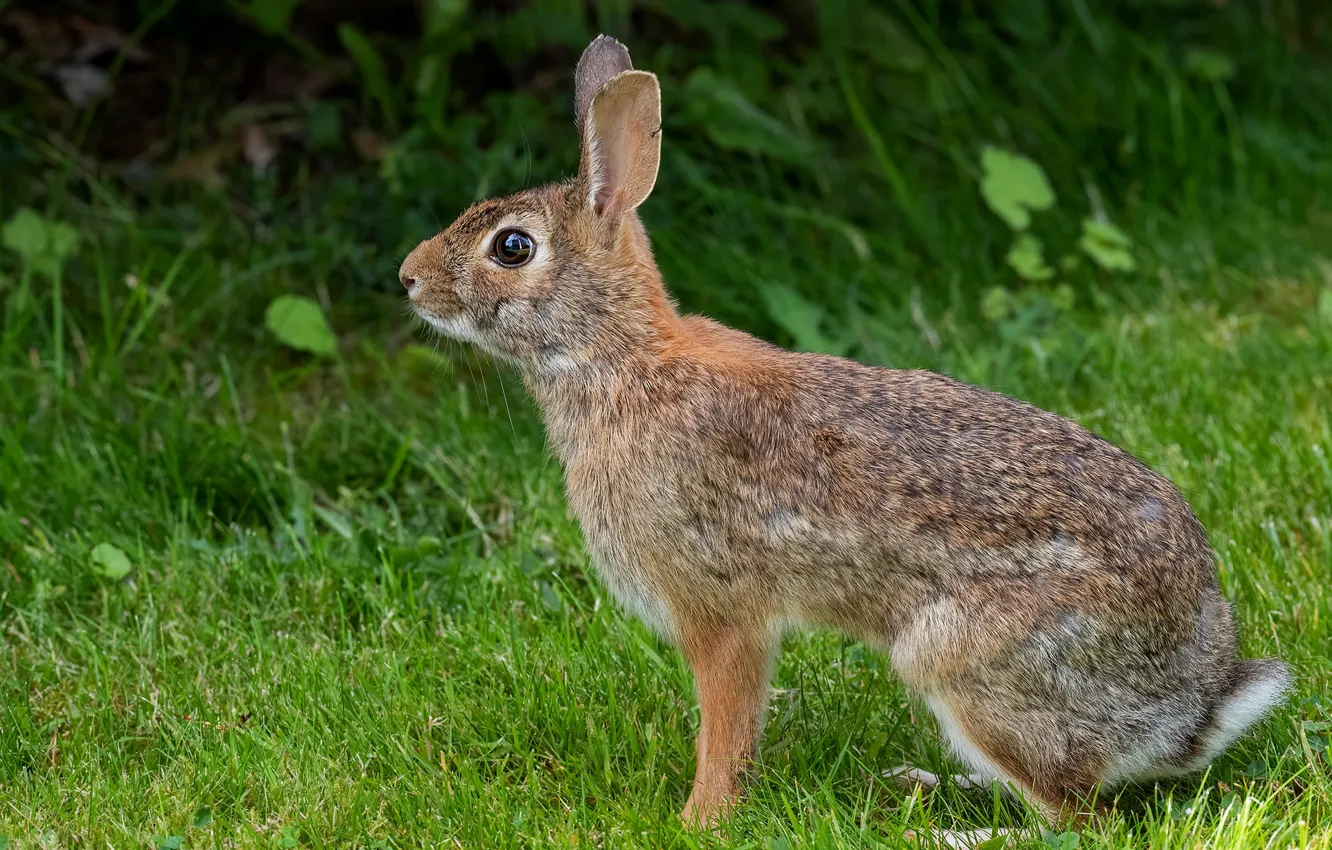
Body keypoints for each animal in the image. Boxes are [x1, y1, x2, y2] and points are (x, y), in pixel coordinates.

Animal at [396, 36, 1289, 842]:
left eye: (512, 247)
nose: (407, 278)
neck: (620, 359)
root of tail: (1188, 712)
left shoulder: (719, 609)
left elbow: (726, 727)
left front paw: (699, 820)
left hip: (962, 662)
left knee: (1078, 820)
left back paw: (952, 828)